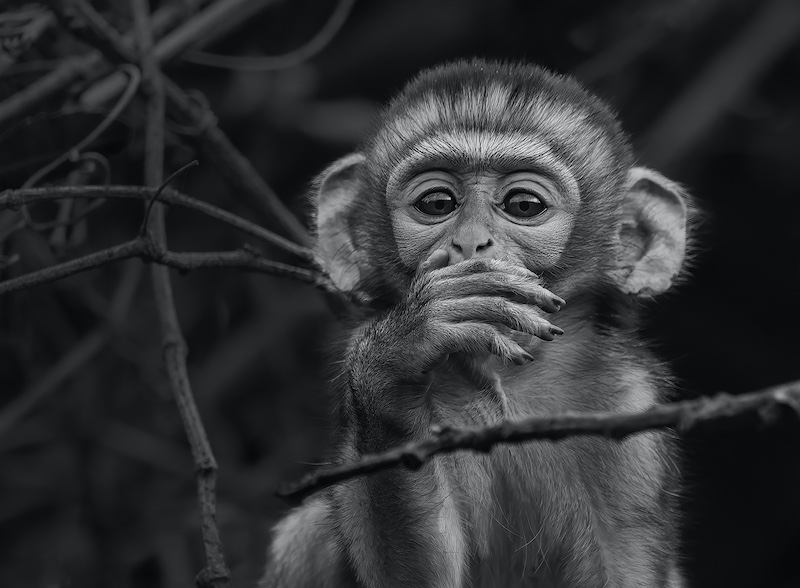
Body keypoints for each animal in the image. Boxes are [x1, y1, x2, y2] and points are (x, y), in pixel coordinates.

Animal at [260, 59, 690, 588]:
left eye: (524, 206)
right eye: (437, 204)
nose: (470, 242)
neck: (508, 385)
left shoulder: (629, 406)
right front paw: (401, 350)